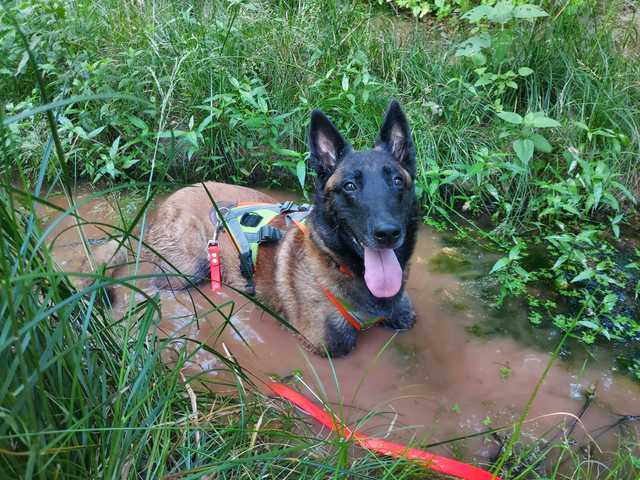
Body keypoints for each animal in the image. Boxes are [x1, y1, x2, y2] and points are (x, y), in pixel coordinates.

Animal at [90, 100, 420, 356]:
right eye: (350, 186)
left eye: (397, 181)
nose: (387, 233)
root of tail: (162, 207)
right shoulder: (325, 345)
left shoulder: (403, 318)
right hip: (186, 269)